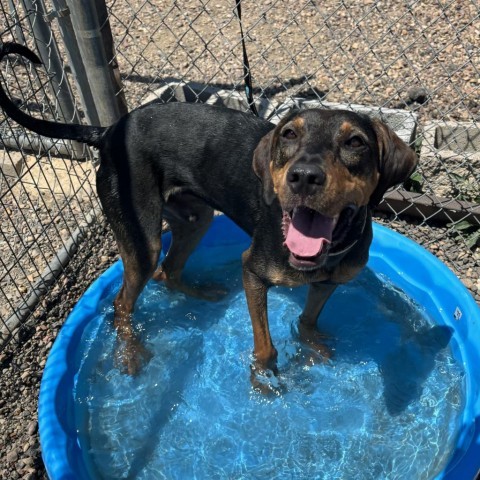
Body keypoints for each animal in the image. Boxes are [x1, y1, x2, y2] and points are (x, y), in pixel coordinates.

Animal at [0, 43, 418, 384]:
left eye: (355, 142)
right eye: (289, 135)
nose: (303, 176)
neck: (326, 251)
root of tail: (108, 132)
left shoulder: (329, 283)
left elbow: (308, 319)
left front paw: (311, 344)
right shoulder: (252, 272)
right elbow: (266, 346)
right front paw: (263, 380)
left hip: (194, 219)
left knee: (168, 271)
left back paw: (202, 294)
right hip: (142, 239)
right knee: (123, 303)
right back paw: (132, 355)